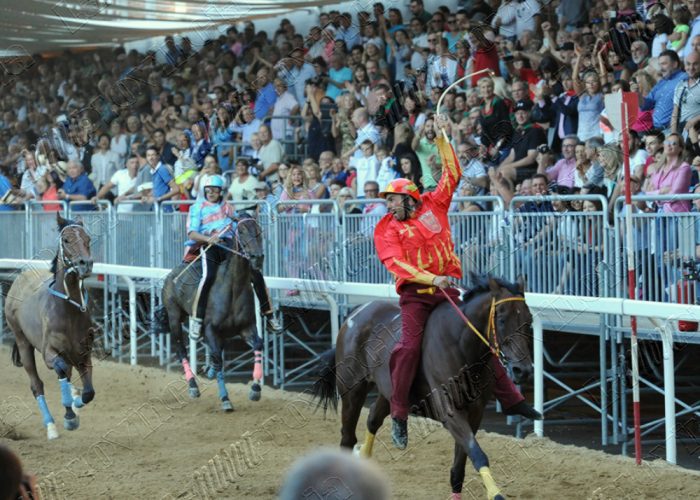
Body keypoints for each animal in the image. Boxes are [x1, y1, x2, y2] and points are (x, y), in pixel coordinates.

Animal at [4, 213, 95, 440]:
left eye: (88, 239)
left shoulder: (84, 353)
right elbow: (60, 369)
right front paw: (69, 416)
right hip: (22, 341)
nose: (86, 264)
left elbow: (88, 392)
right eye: (66, 240)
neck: (69, 309)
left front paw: (75, 405)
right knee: (37, 384)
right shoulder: (49, 352)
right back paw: (51, 426)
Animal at [159, 217, 266, 412]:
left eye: (259, 230)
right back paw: (193, 386)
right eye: (241, 231)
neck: (233, 289)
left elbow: (258, 345)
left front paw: (255, 389)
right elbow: (217, 358)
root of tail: (172, 276)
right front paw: (225, 399)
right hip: (174, 317)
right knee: (181, 349)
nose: (257, 257)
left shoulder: (246, 327)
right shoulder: (210, 329)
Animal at [314, 276, 532, 498]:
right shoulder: (450, 412)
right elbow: (477, 453)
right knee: (347, 439)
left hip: (389, 392)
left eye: (529, 320)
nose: (522, 370)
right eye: (502, 319)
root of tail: (356, 313)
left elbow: (459, 468)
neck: (459, 344)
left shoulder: (474, 413)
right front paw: (496, 494)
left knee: (373, 417)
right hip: (352, 391)